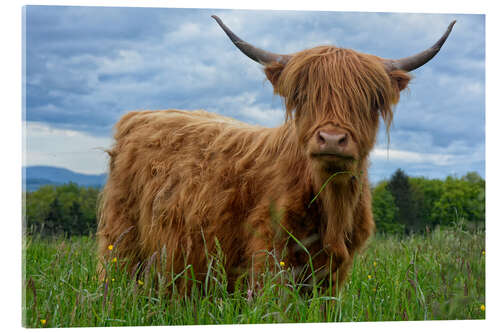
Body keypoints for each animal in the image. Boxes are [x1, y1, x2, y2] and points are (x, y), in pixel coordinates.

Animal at [97, 16, 458, 290]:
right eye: (303, 96)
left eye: (369, 100)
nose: (331, 139)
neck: (331, 203)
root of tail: (139, 115)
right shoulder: (269, 253)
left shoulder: (335, 273)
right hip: (120, 241)